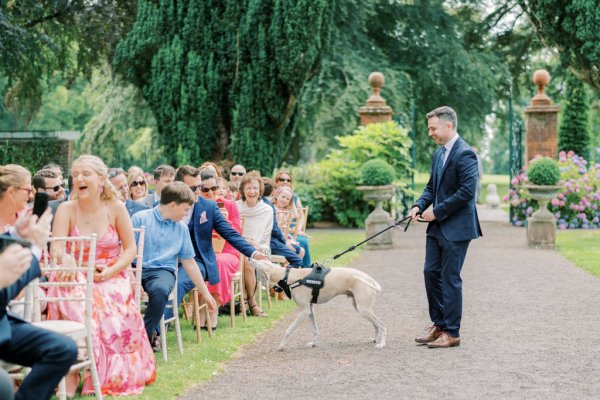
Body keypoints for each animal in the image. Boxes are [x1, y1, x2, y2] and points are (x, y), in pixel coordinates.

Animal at [251, 260, 386, 348]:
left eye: (258, 263)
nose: (250, 257)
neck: (289, 276)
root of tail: (370, 280)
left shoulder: (304, 311)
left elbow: (288, 330)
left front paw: (282, 345)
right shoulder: (310, 309)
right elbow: (315, 329)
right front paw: (313, 343)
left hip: (363, 309)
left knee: (383, 325)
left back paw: (382, 344)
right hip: (360, 307)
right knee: (376, 325)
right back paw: (375, 339)